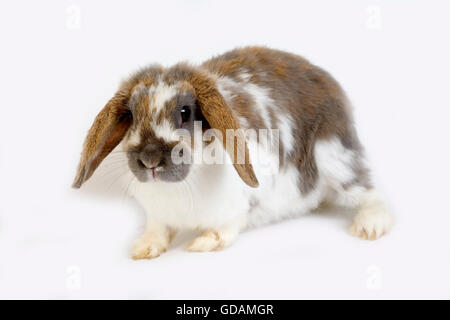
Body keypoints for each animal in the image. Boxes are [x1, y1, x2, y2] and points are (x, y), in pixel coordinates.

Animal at [73, 46, 394, 258]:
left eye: (185, 112)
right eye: (130, 114)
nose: (150, 159)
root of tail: (329, 82)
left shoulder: (240, 204)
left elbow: (226, 229)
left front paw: (201, 243)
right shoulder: (157, 215)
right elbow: (158, 229)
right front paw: (143, 248)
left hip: (335, 159)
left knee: (371, 193)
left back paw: (370, 227)